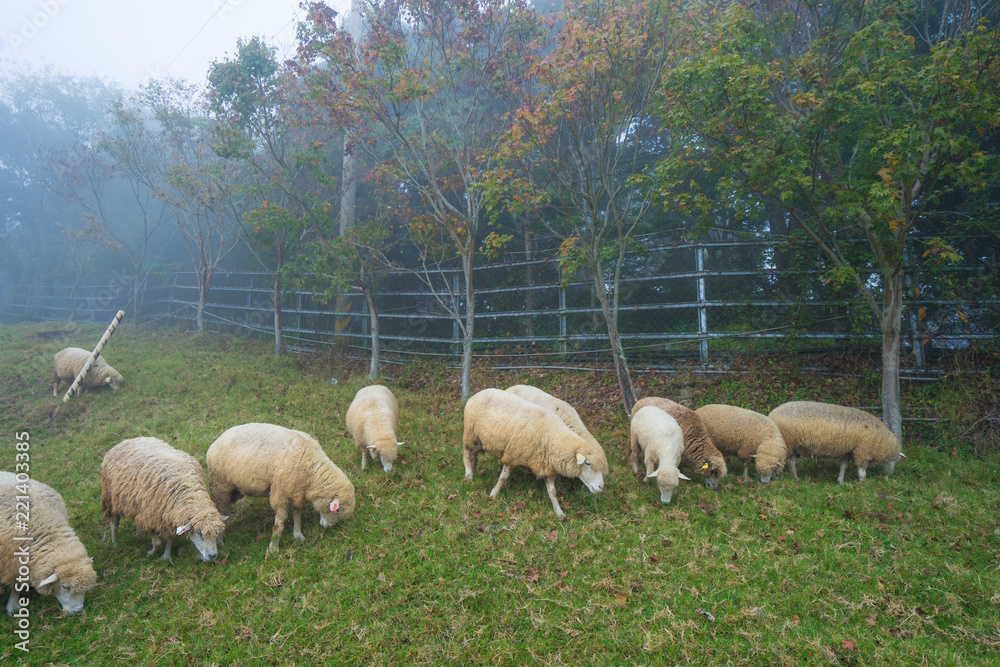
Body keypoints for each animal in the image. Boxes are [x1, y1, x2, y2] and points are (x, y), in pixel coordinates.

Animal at [206, 423, 356, 556]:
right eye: (337, 510)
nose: (328, 527)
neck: (312, 469)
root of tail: (216, 441)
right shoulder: (280, 493)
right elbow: (279, 524)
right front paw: (273, 548)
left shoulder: (297, 491)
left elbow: (297, 514)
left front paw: (298, 534)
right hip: (219, 485)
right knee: (220, 510)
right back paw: (220, 541)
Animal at [462, 388, 608, 517]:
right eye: (587, 463)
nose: (601, 487)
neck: (552, 436)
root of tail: (480, 392)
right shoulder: (513, 454)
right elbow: (503, 477)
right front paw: (493, 494)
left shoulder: (546, 465)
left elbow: (552, 491)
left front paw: (559, 512)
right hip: (471, 434)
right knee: (467, 454)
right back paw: (469, 476)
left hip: (481, 440)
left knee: (474, 455)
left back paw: (473, 471)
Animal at [767, 401, 905, 483]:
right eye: (897, 459)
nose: (890, 475)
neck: (881, 441)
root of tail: (772, 414)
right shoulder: (862, 452)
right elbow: (862, 472)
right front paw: (861, 484)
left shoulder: (848, 452)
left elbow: (843, 466)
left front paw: (840, 481)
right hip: (788, 443)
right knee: (786, 460)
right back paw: (789, 477)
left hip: (795, 446)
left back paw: (793, 477)